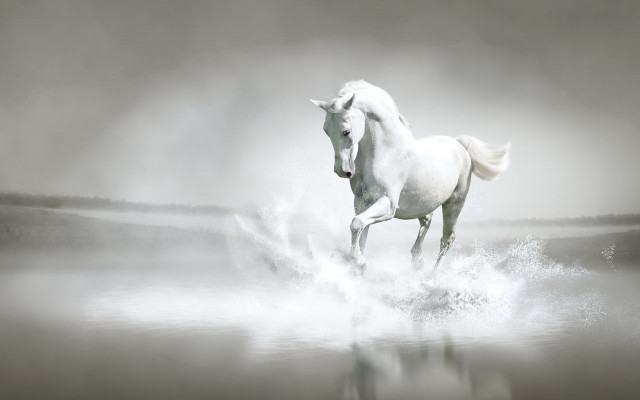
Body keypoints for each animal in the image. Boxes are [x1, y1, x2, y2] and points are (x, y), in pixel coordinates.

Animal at [311, 80, 510, 270]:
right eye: (326, 130)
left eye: (346, 131)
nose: (342, 171)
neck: (386, 153)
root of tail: (460, 144)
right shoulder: (362, 202)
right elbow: (361, 231)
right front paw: (357, 263)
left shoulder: (388, 204)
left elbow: (357, 224)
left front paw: (360, 262)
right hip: (423, 204)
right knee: (427, 222)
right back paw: (417, 262)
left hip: (454, 203)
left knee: (446, 240)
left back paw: (431, 276)